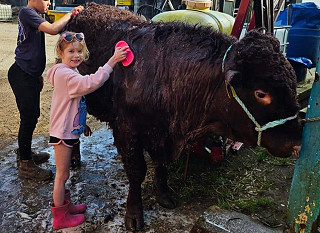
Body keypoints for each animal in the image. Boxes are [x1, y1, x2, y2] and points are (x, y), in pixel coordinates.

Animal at [67, 2, 302, 230]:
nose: (297, 143)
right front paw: (134, 213)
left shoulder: (161, 134)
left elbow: (161, 164)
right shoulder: (126, 129)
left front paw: (164, 194)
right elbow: (137, 171)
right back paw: (74, 159)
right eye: (261, 94)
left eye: (292, 84)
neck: (165, 72)